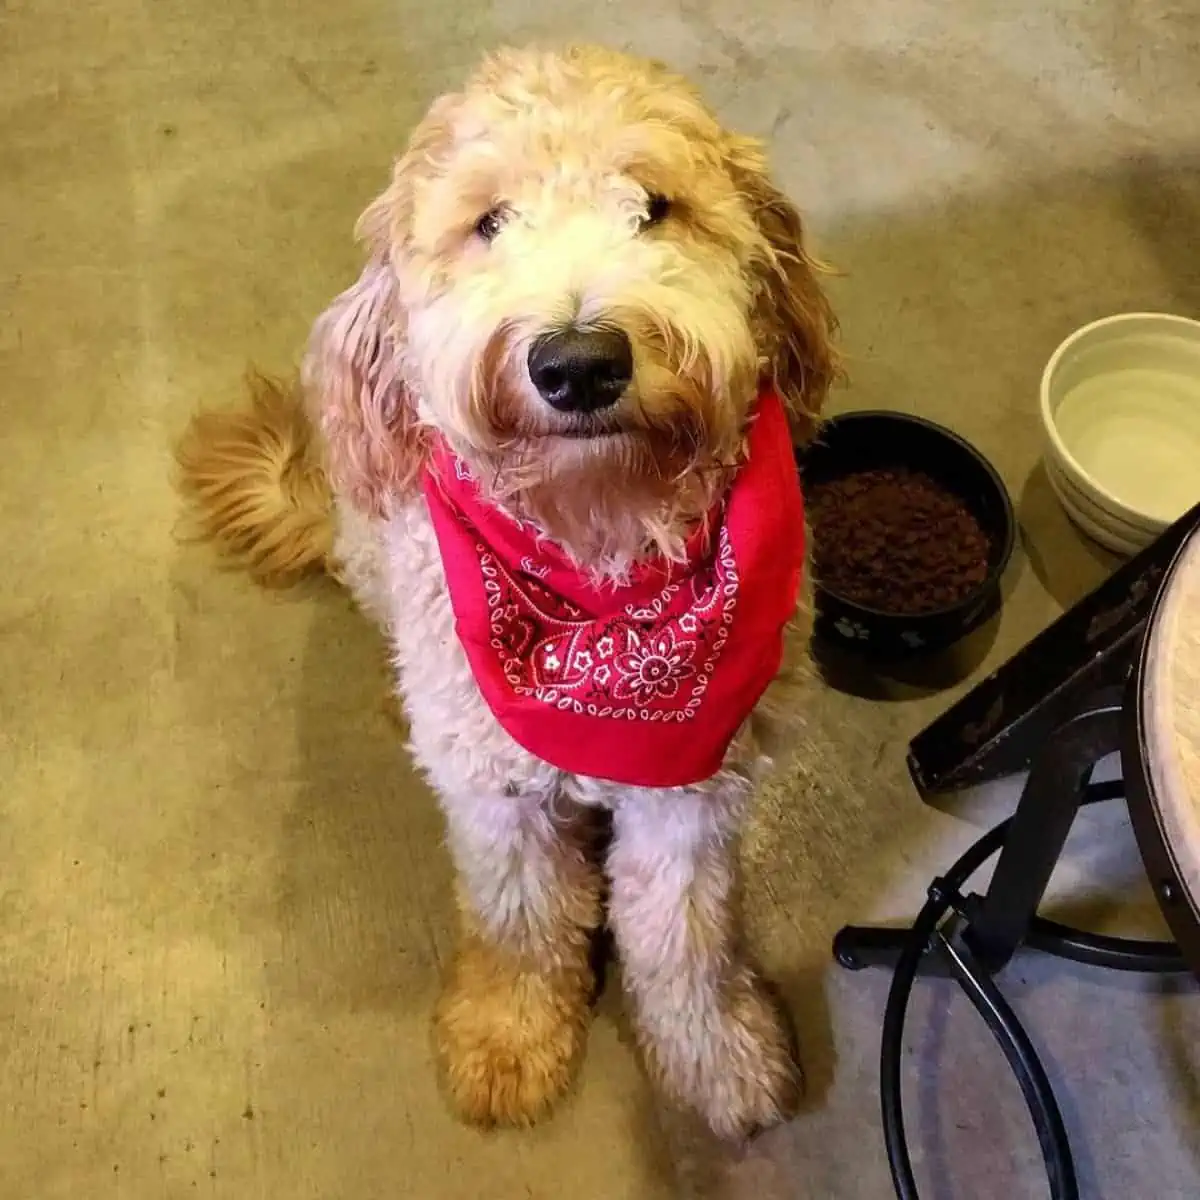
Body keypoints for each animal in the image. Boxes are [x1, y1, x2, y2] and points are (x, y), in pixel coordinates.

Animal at [175, 42, 835, 1137]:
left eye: (653, 206)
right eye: (489, 221)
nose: (580, 362)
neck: (599, 557)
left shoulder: (697, 795)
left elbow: (685, 935)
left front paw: (715, 1054)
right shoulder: (495, 789)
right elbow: (520, 918)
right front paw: (509, 1038)